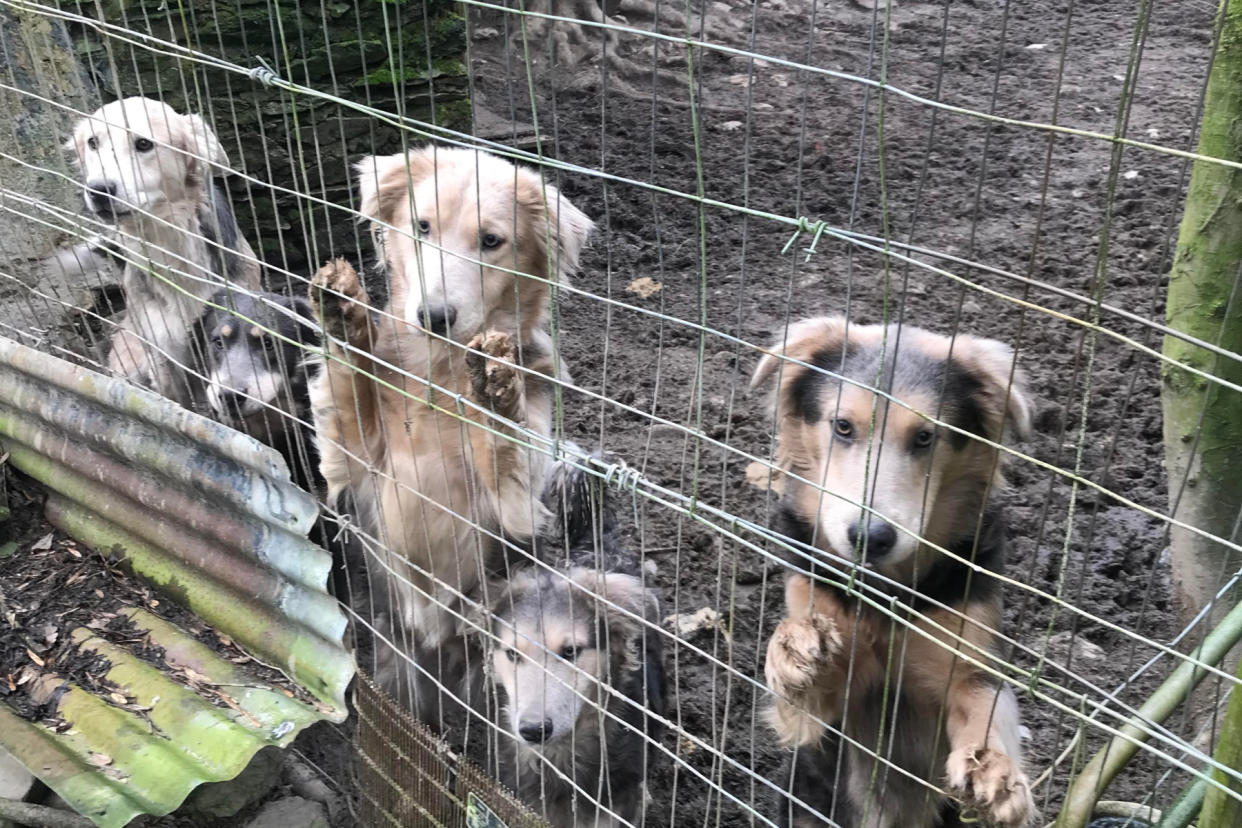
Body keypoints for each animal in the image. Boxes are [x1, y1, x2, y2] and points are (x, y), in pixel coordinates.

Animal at [755, 317, 1038, 828]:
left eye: (925, 438)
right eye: (842, 427)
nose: (871, 537)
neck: (884, 588)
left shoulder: (971, 656)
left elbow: (983, 700)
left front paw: (994, 770)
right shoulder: (823, 707)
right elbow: (807, 682)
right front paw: (792, 648)